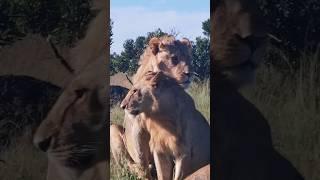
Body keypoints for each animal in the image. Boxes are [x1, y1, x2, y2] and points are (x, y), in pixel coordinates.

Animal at [110, 35, 192, 179]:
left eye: (188, 58)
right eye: (174, 58)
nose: (189, 74)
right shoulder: (138, 129)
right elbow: (142, 162)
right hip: (113, 129)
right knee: (128, 165)